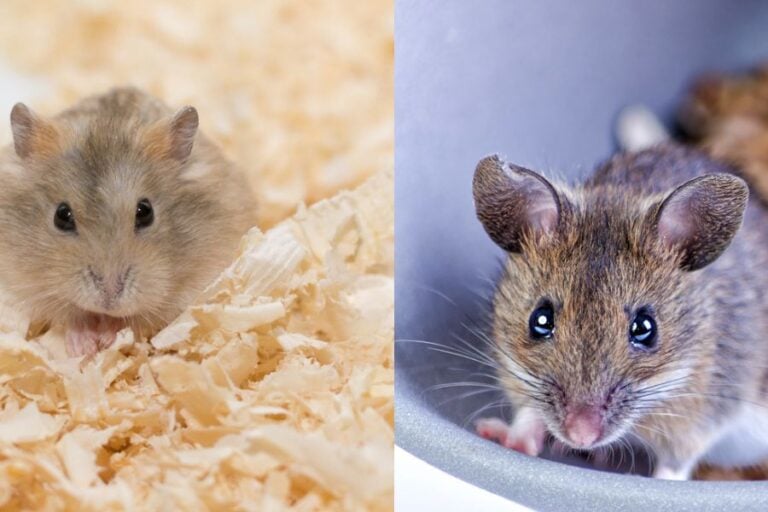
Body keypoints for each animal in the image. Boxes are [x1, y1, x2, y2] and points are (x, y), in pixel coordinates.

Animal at [0, 87, 257, 357]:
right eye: (61, 215)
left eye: (145, 212)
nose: (109, 298)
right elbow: (70, 315)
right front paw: (84, 347)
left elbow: (137, 319)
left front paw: (106, 338)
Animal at [472, 143, 768, 480]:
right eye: (540, 320)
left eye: (645, 328)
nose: (580, 436)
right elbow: (529, 413)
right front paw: (508, 437)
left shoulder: (705, 413)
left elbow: (675, 465)